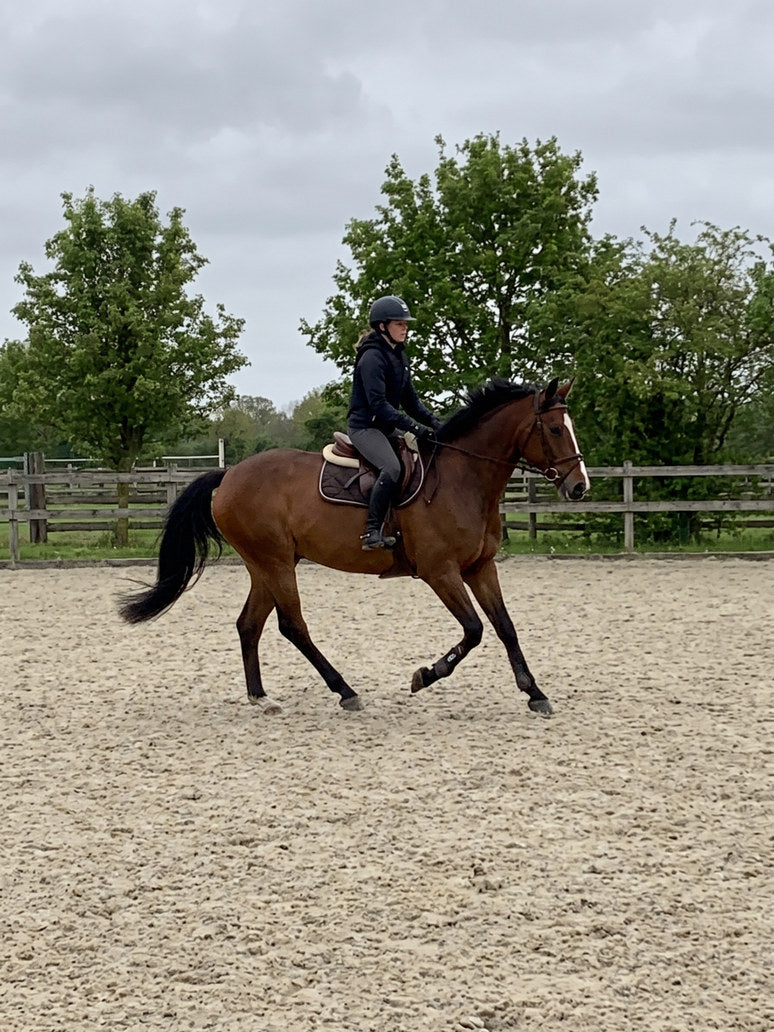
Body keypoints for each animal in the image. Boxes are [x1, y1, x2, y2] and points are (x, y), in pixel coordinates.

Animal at [119, 377, 589, 716]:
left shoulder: (480, 567)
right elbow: (474, 630)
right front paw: (425, 675)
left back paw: (262, 697)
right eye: (553, 429)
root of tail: (229, 474)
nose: (579, 487)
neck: (463, 478)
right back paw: (345, 691)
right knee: (293, 627)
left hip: (266, 565)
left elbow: (505, 627)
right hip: (274, 563)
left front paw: (534, 693)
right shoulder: (440, 572)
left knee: (249, 625)